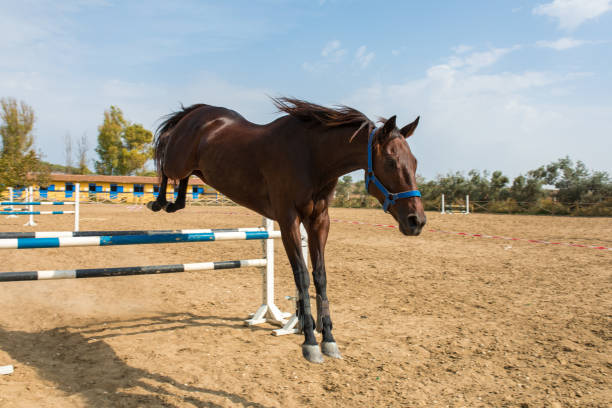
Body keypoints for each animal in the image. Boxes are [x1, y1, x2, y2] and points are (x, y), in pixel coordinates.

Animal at [148, 99, 426, 364]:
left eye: (414, 162)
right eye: (390, 161)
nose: (417, 221)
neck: (313, 157)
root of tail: (199, 112)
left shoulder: (319, 221)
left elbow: (320, 276)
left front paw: (327, 338)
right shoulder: (288, 220)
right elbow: (301, 275)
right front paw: (310, 342)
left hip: (198, 169)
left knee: (183, 177)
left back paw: (175, 203)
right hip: (178, 160)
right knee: (164, 162)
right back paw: (159, 202)